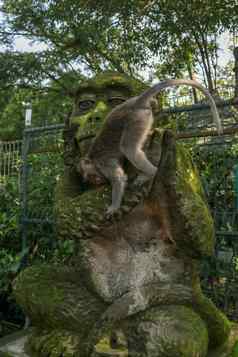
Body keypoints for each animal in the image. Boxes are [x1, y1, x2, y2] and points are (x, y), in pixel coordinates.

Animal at [79, 79, 222, 216]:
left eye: (89, 175)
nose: (92, 181)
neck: (93, 158)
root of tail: (137, 102)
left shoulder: (104, 163)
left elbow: (119, 179)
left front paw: (114, 207)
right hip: (144, 118)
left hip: (136, 120)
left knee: (129, 148)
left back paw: (151, 173)